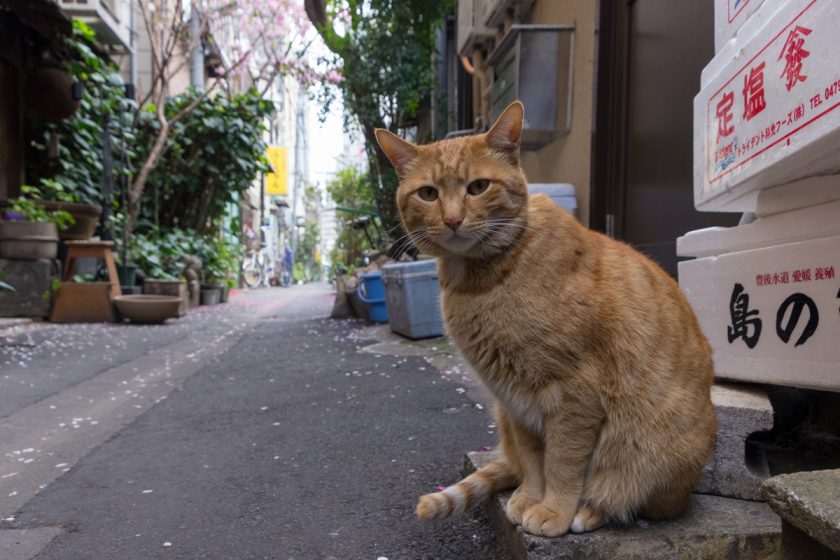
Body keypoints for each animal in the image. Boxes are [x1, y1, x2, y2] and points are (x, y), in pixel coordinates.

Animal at [376, 101, 716, 540]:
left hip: (652, 454)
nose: (452, 219)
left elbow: (563, 461)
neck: (480, 282)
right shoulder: (514, 399)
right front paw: (531, 498)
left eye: (478, 187)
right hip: (503, 418)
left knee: (631, 495)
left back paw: (589, 511)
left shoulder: (573, 392)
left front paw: (554, 510)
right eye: (429, 194)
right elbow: (534, 459)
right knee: (516, 463)